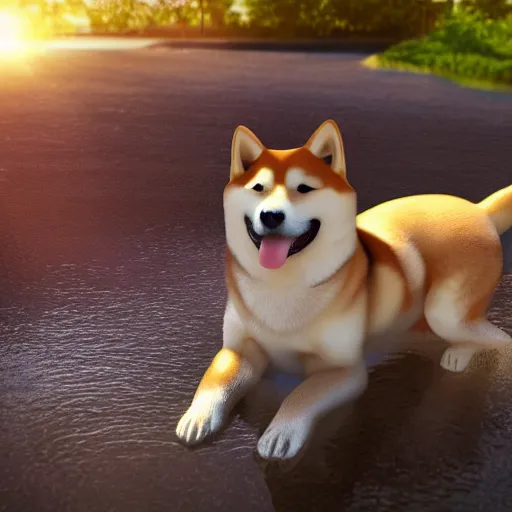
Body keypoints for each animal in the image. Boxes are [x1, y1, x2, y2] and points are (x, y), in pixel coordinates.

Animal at [176, 119, 512, 460]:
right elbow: (215, 379)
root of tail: (478, 210)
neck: (283, 285)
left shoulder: (345, 370)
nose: (270, 215)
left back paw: (459, 354)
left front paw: (282, 431)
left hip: (445, 313)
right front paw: (197, 416)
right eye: (258, 188)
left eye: (304, 188)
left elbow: (302, 393)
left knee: (498, 338)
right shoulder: (239, 349)